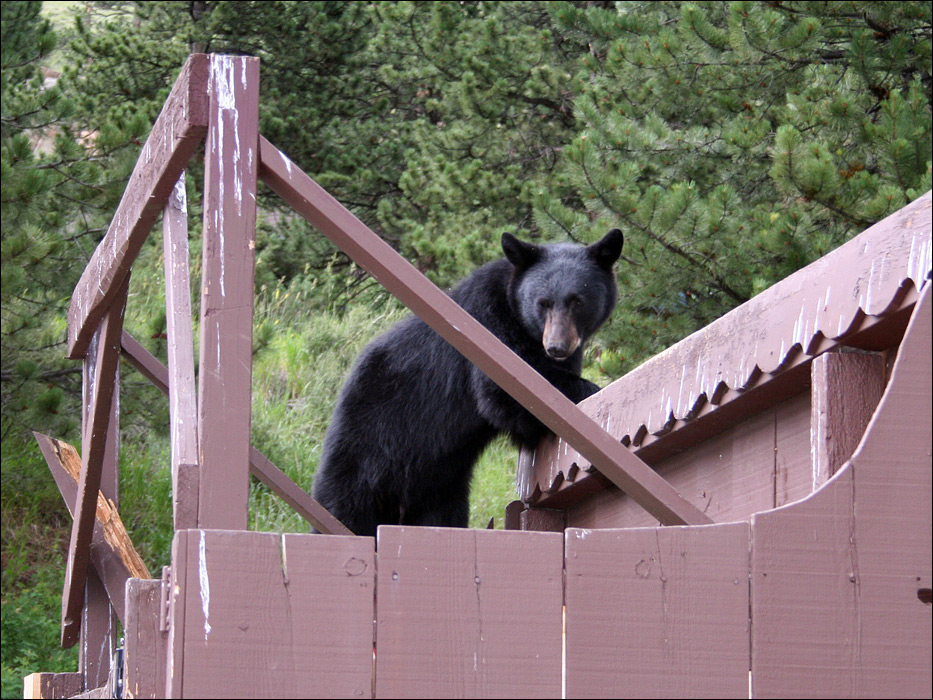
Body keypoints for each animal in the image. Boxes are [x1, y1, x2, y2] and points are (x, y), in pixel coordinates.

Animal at [312, 228, 624, 536]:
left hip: (440, 484)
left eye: (578, 301)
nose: (557, 347)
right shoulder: (488, 323)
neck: (513, 309)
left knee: (442, 517)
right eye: (542, 303)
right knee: (345, 504)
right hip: (366, 444)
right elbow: (505, 394)